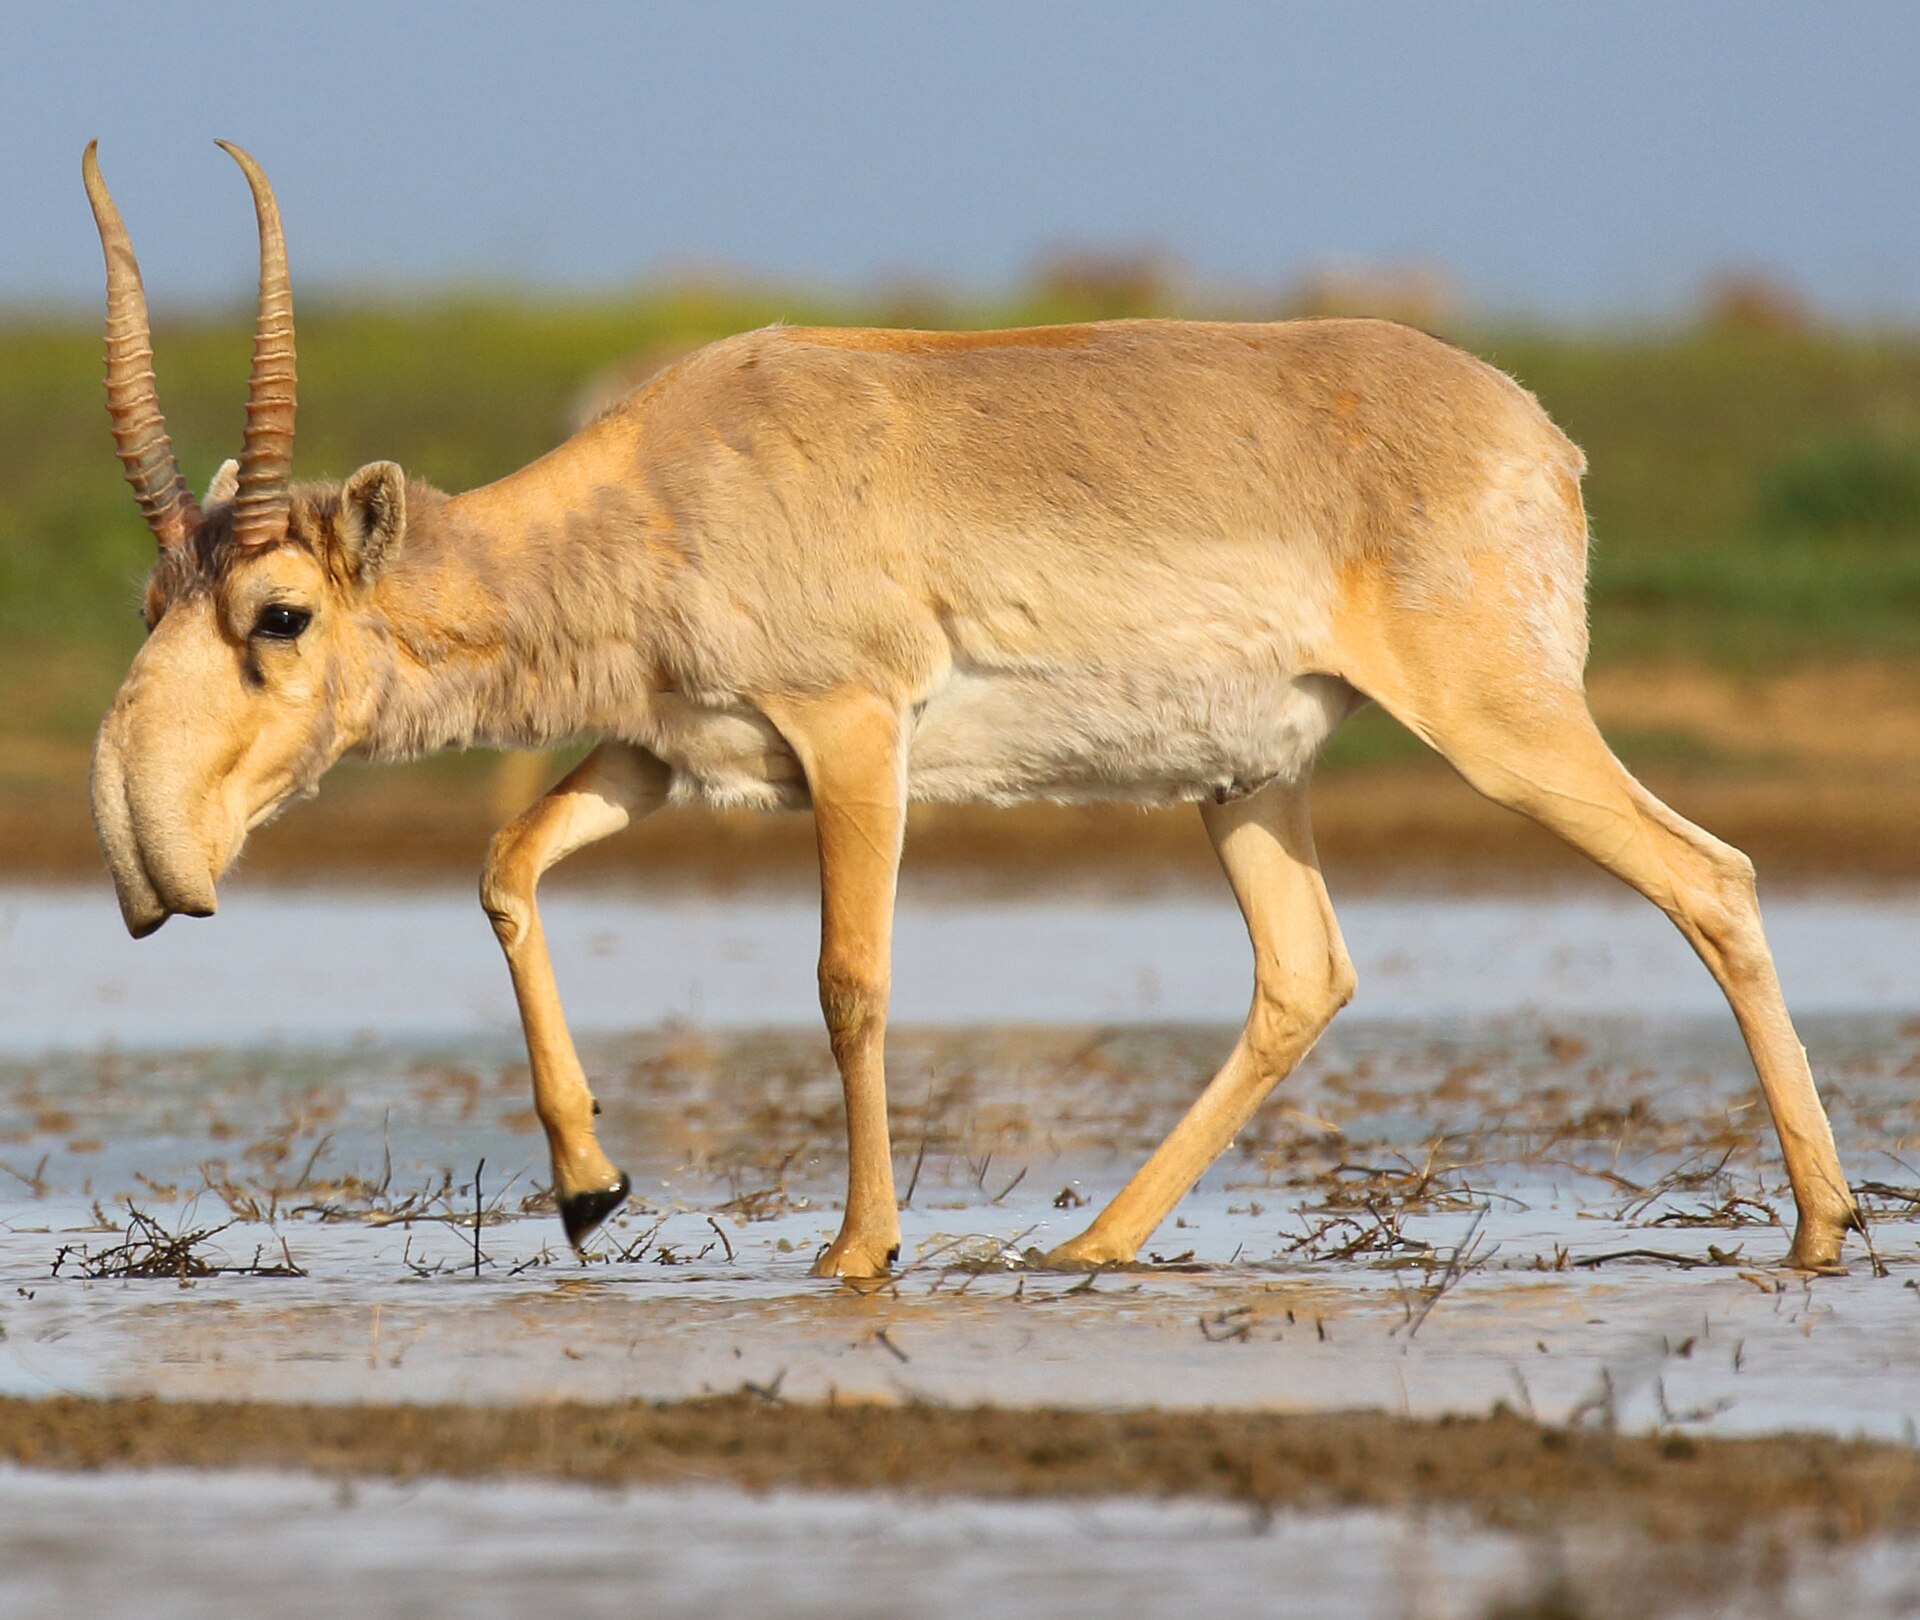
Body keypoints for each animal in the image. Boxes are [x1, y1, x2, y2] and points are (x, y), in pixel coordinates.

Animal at [84, 143, 1860, 1277]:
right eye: (153, 600)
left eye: (280, 613)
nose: (143, 853)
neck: (668, 476)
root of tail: (1537, 432)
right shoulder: (668, 755)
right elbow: (506, 866)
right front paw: (591, 1191)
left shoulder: (854, 736)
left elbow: (850, 980)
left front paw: (858, 1249)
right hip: (1246, 781)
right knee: (1305, 974)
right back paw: (1091, 1243)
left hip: (1502, 727)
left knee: (1710, 878)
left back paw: (1823, 1225)